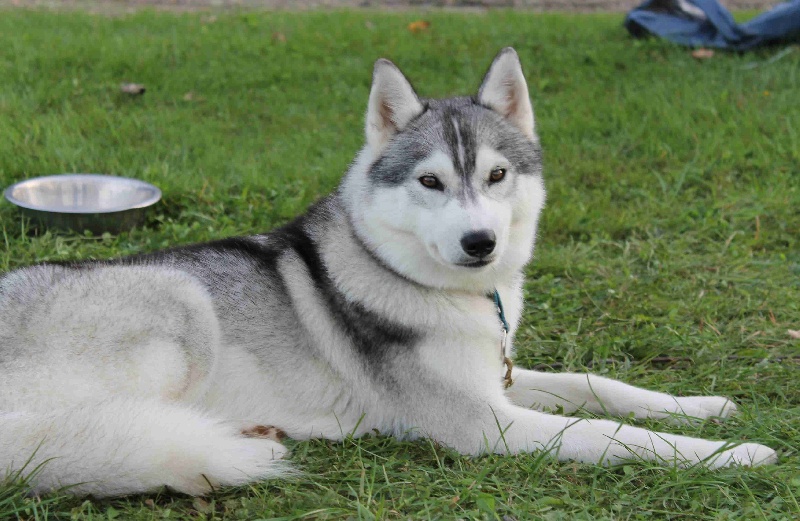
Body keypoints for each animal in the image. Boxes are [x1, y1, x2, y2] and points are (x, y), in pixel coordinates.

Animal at [0, 48, 777, 497]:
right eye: (431, 181)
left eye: (497, 175)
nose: (479, 243)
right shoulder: (485, 424)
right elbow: (614, 434)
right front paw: (731, 453)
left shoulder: (496, 377)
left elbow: (598, 386)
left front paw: (704, 408)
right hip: (179, 298)